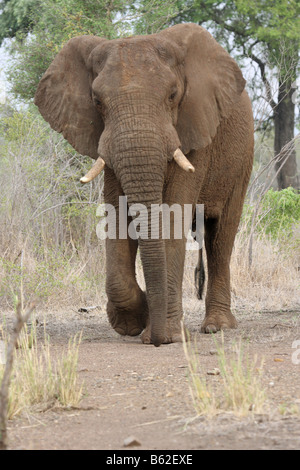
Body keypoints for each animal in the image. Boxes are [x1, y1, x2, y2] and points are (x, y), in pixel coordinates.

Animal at [34, 23, 253, 346]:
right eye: (97, 101)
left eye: (173, 95)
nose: (157, 339)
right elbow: (116, 214)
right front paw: (131, 322)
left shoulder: (194, 129)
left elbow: (173, 218)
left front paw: (169, 335)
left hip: (242, 158)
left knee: (221, 236)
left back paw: (217, 327)